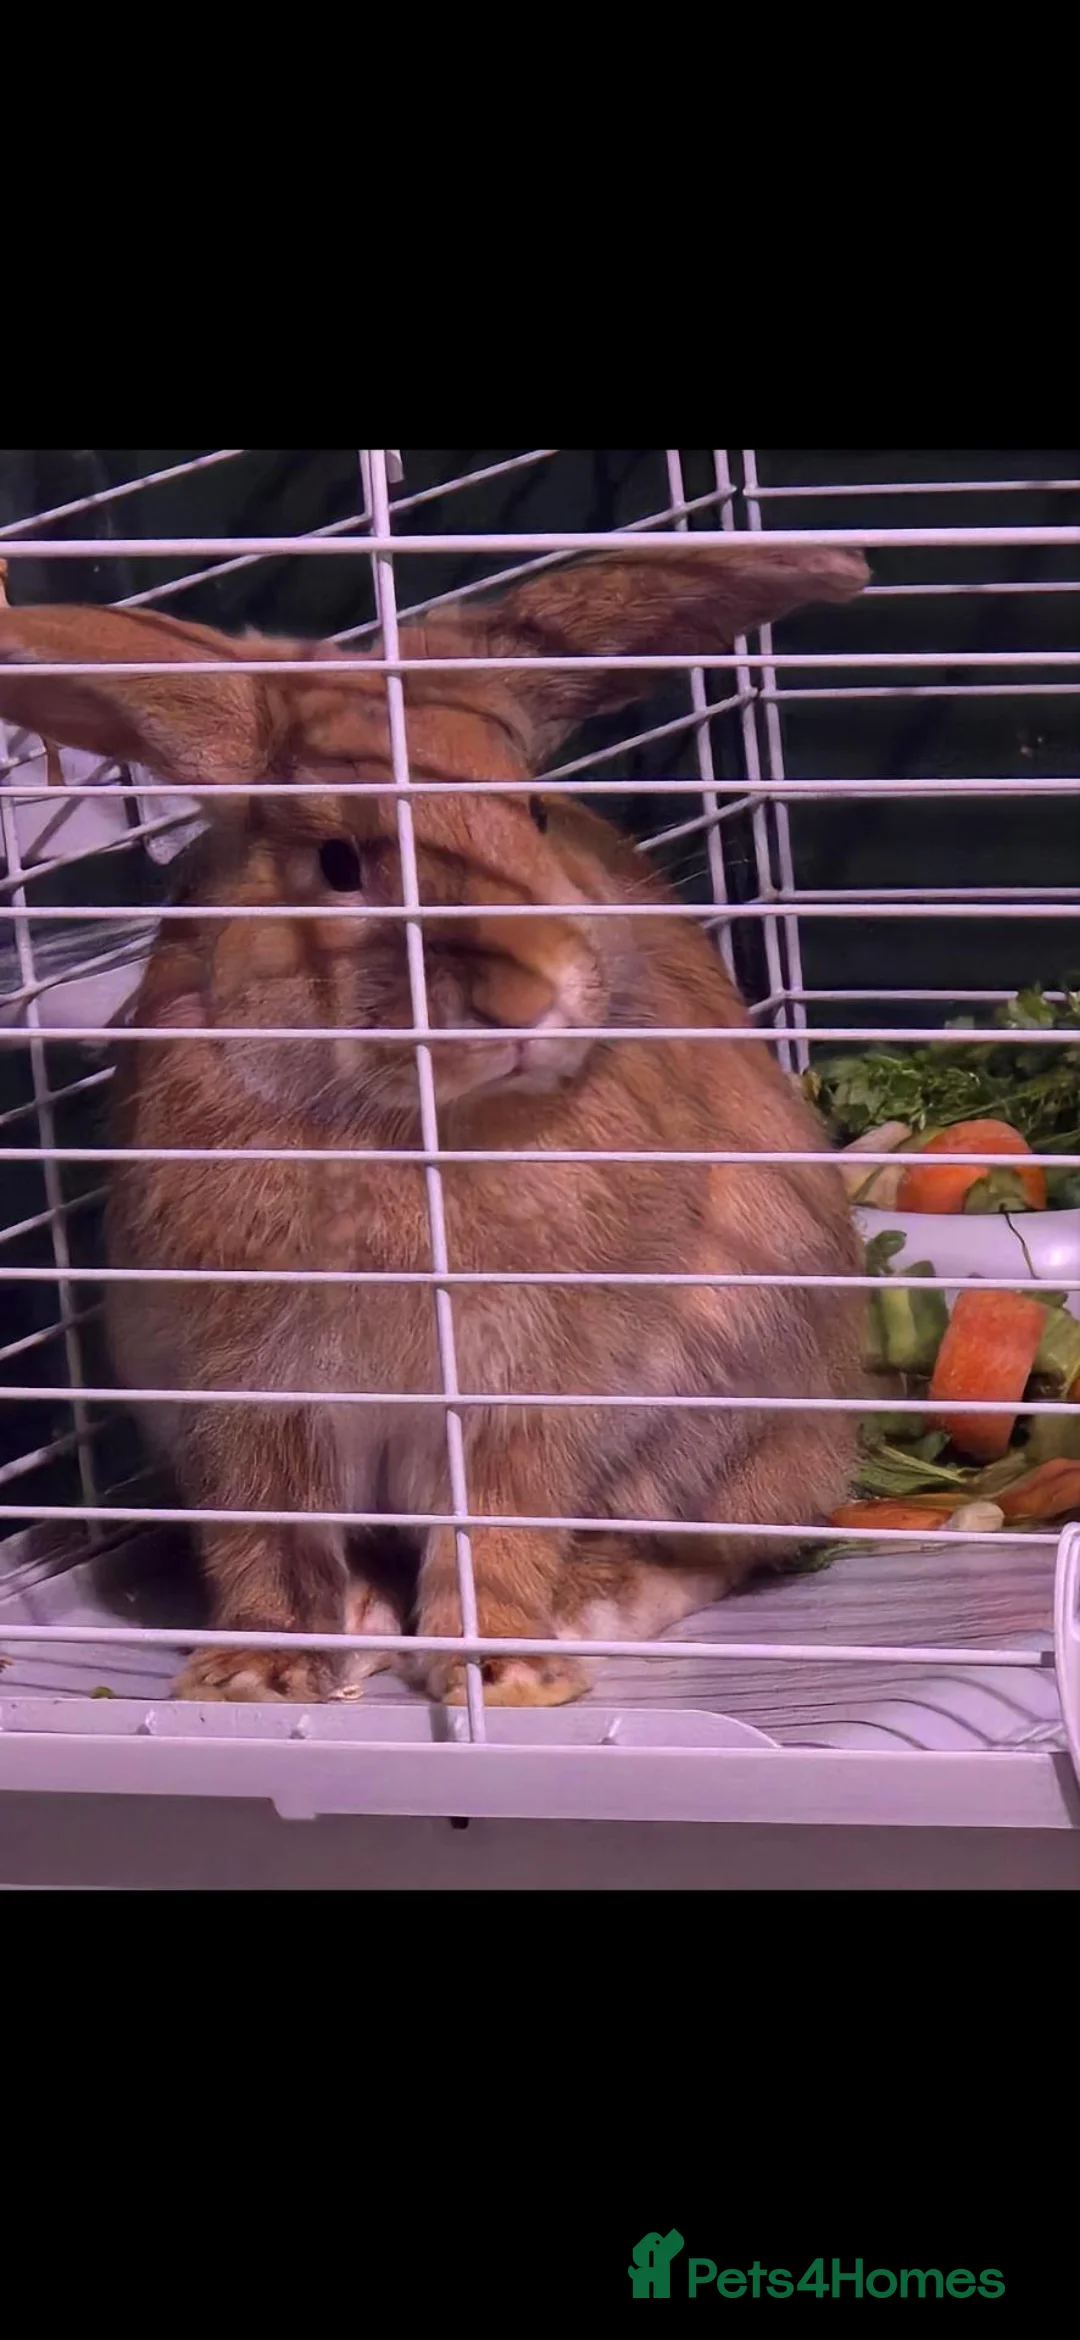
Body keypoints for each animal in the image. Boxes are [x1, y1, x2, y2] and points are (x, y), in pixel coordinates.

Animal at [0, 539, 870, 1706]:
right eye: (339, 864)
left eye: (535, 816)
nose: (527, 998)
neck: (409, 1124)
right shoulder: (248, 1409)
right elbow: (265, 1542)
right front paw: (255, 1673)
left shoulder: (523, 1405)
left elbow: (497, 1531)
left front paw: (496, 1673)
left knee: (719, 1542)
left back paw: (590, 1611)